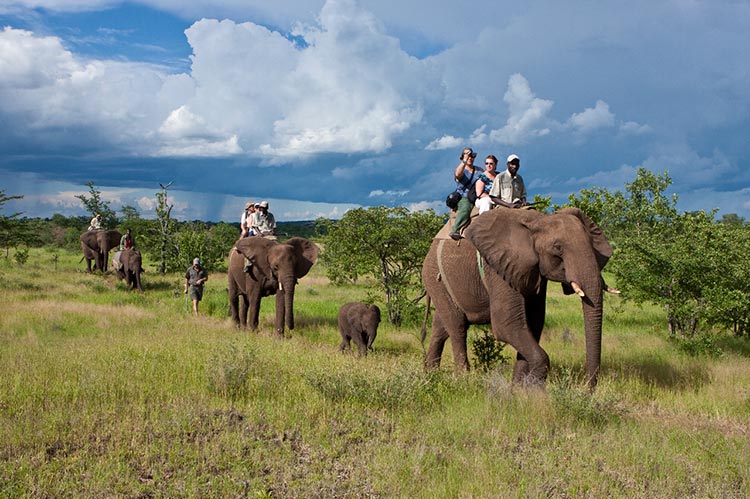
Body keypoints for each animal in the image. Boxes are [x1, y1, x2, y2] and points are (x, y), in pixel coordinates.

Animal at [421, 207, 615, 390]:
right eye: (558, 248)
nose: (586, 390)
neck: (539, 220)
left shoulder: (533, 272)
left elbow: (533, 323)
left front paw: (518, 389)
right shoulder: (498, 266)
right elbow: (507, 324)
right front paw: (532, 390)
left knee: (441, 327)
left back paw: (431, 375)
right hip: (434, 277)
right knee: (457, 327)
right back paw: (463, 380)